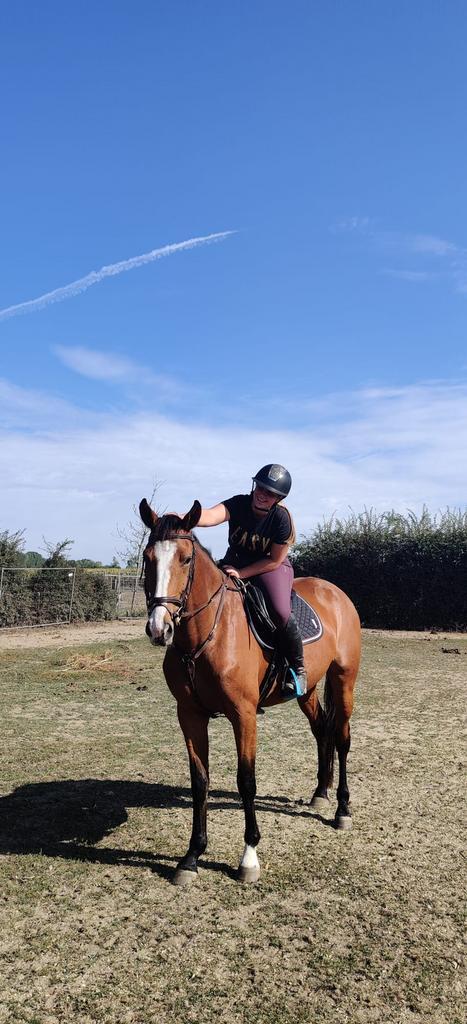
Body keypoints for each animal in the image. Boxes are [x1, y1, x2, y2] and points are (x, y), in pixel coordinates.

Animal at [139, 499, 360, 884]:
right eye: (147, 557)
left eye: (185, 558)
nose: (159, 628)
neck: (207, 635)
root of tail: (335, 592)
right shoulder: (190, 715)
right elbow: (200, 781)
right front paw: (191, 856)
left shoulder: (243, 716)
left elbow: (246, 781)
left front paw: (249, 857)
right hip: (308, 691)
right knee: (322, 731)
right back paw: (320, 793)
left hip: (344, 679)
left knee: (342, 738)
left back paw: (342, 810)